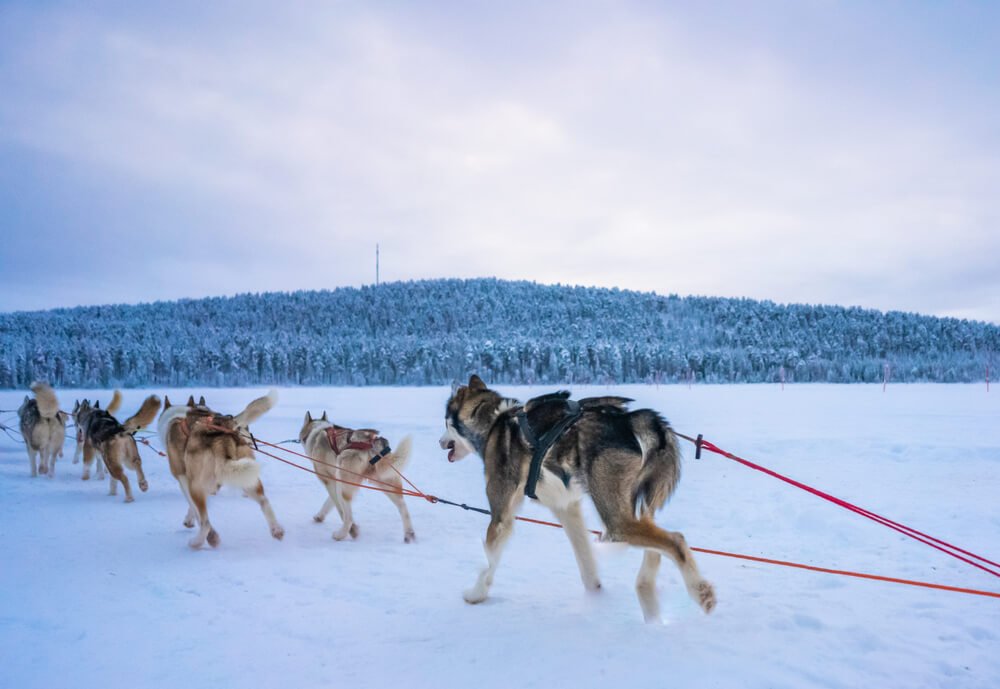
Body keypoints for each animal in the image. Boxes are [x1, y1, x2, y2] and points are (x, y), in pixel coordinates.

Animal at [158, 392, 286, 548]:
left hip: (196, 486)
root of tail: (220, 434)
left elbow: (194, 508)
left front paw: (209, 534)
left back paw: (197, 542)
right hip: (247, 477)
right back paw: (276, 529)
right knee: (264, 501)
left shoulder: (184, 479)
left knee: (206, 522)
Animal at [296, 414, 414, 544]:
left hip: (345, 482)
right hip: (385, 481)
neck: (317, 431)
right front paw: (320, 516)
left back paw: (342, 534)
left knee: (348, 517)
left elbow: (338, 507)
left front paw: (353, 530)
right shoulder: (336, 482)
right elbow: (329, 502)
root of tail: (371, 443)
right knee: (403, 506)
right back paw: (409, 534)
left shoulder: (329, 480)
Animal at [442, 376, 716, 624]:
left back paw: (700, 592)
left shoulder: (501, 514)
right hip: (636, 506)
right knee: (656, 550)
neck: (493, 421)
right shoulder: (566, 507)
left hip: (616, 521)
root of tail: (630, 419)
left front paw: (476, 594)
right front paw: (595, 595)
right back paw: (650, 606)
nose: (440, 442)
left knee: (675, 541)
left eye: (445, 423)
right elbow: (584, 556)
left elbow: (489, 559)